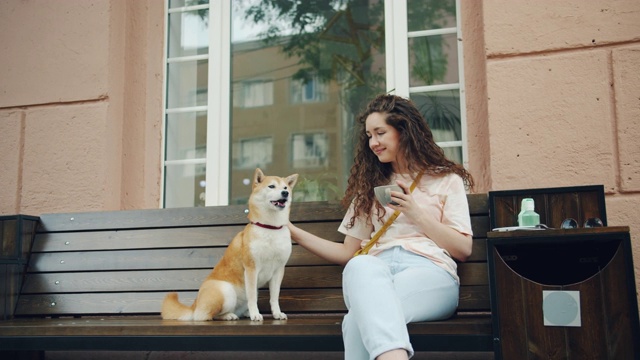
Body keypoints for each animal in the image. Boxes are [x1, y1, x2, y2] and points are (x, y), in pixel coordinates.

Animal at [161, 168, 298, 320]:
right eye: (272, 186)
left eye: (285, 188)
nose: (285, 193)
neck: (270, 227)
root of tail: (194, 305)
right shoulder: (251, 268)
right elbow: (252, 297)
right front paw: (256, 314)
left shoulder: (278, 270)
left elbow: (274, 298)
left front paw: (277, 313)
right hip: (225, 291)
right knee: (205, 315)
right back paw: (228, 316)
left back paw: (244, 313)